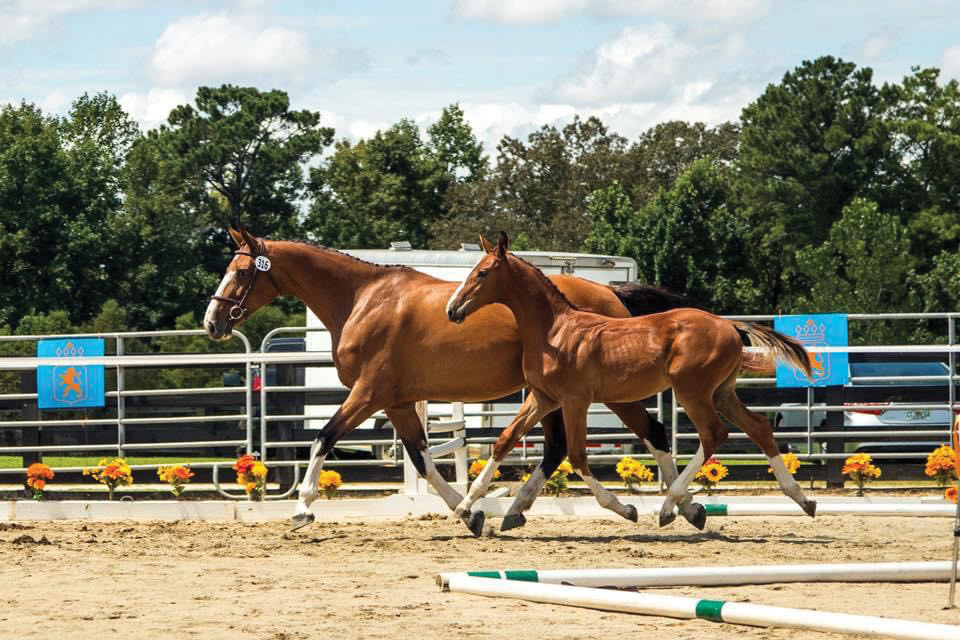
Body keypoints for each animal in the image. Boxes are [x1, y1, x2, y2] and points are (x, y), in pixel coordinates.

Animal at [206, 225, 708, 536]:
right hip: (553, 397)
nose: (213, 322)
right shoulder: (396, 402)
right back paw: (519, 511)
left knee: (652, 433)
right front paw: (469, 514)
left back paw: (678, 507)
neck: (362, 300)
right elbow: (422, 458)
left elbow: (323, 439)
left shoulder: (367, 394)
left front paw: (303, 508)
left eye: (241, 270)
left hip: (598, 395)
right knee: (558, 449)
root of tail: (609, 293)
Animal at [446, 232, 812, 532]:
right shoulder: (542, 398)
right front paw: (466, 508)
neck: (555, 331)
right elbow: (504, 440)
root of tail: (730, 325)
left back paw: (670, 506)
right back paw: (803, 499)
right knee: (758, 427)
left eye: (482, 273)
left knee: (712, 434)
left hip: (692, 392)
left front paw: (625, 508)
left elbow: (577, 455)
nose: (452, 310)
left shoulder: (574, 401)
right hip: (722, 393)